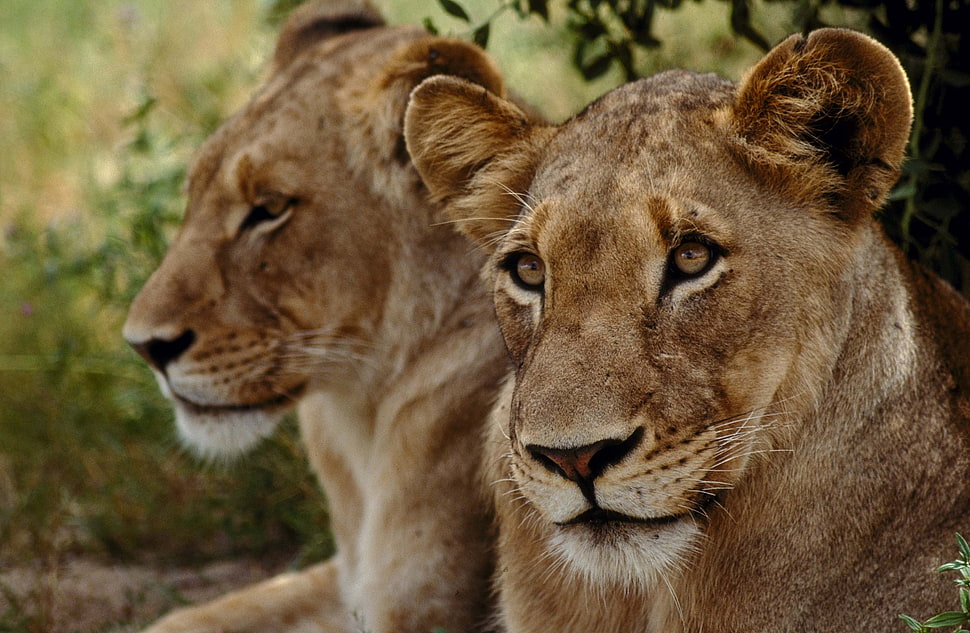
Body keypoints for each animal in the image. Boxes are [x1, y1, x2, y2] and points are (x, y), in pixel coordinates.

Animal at [122, 2, 512, 631]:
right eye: (193, 194)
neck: (359, 418)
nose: (144, 347)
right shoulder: (345, 580)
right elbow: (190, 617)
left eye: (270, 209)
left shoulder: (428, 605)